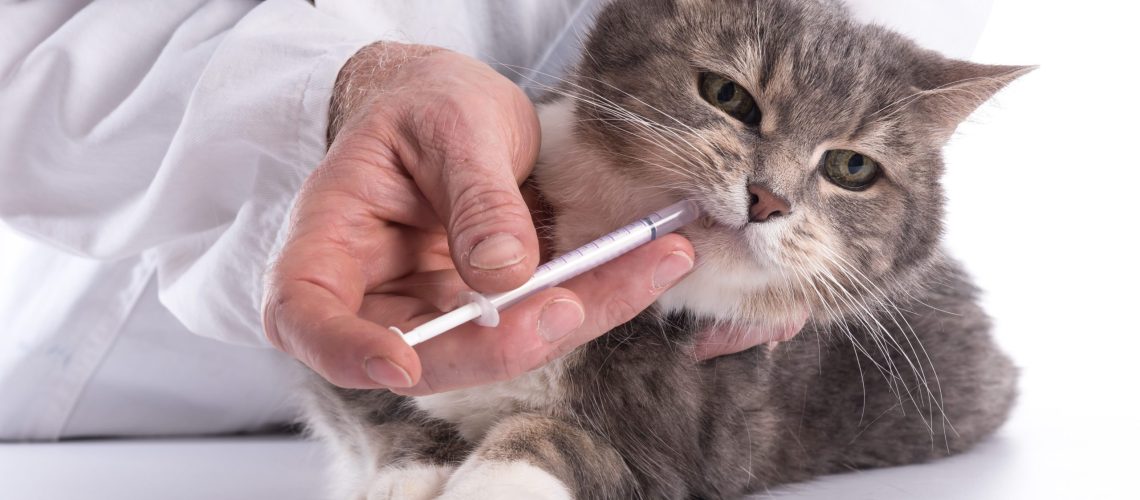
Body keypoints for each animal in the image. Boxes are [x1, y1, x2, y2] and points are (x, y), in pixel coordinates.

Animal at [305, 0, 1035, 498]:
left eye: (852, 168)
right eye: (727, 95)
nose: (768, 198)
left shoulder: (694, 438)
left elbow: (559, 442)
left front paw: (485, 481)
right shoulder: (348, 376)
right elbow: (376, 401)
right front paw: (411, 475)